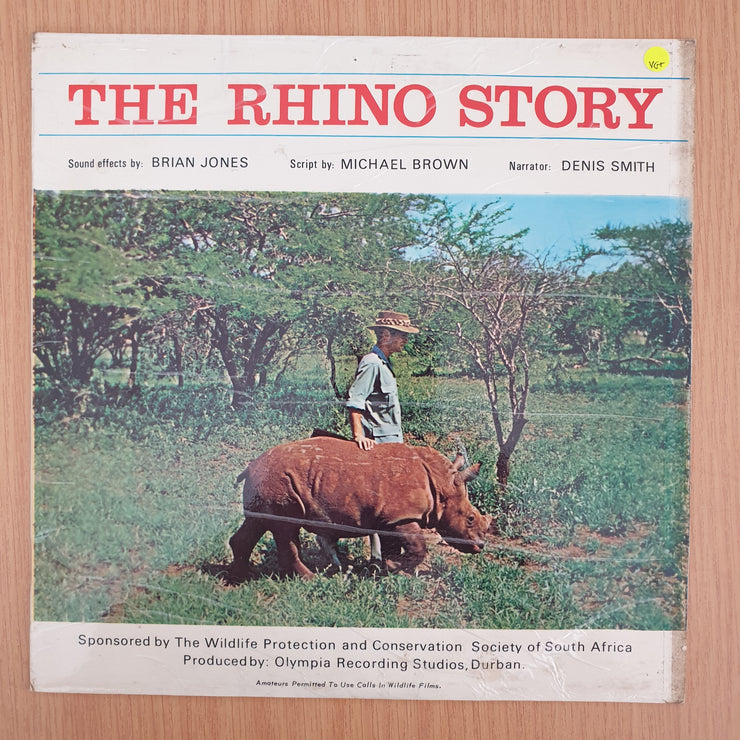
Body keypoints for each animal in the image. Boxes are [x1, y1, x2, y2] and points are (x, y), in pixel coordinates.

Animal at [228, 436, 490, 580]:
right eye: (470, 518)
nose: (480, 546)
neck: (441, 484)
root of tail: (250, 467)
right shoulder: (401, 516)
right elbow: (418, 547)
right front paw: (392, 566)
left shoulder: (388, 517)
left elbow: (395, 545)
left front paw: (386, 567)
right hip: (278, 481)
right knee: (285, 529)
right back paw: (311, 579)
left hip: (266, 482)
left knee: (258, 523)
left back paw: (241, 577)